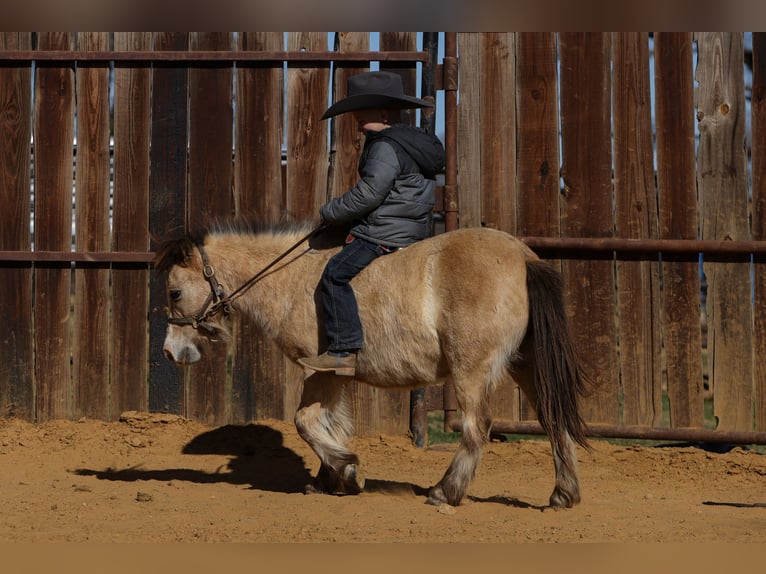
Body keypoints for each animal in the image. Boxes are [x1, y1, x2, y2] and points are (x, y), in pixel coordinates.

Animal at [156, 222, 591, 509]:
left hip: (471, 369)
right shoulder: (336, 377)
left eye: (174, 292)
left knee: (476, 426)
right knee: (553, 420)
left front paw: (348, 469)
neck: (292, 279)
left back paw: (445, 492)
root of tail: (523, 257)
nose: (170, 352)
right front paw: (329, 479)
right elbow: (332, 424)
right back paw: (563, 494)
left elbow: (306, 422)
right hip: (525, 365)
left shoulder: (320, 371)